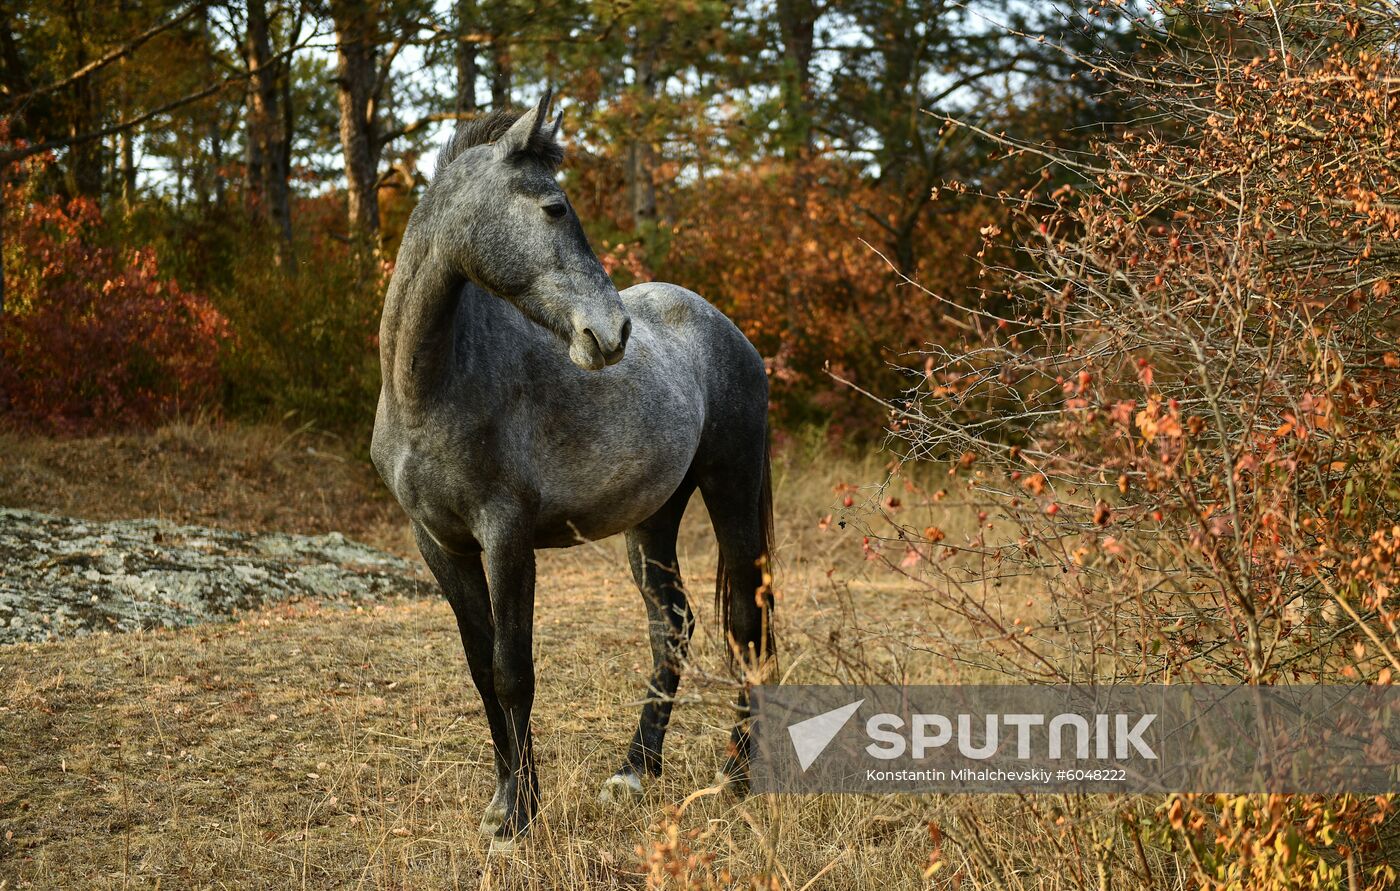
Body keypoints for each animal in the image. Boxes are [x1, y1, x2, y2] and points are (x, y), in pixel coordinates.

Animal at [372, 90, 772, 851]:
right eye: (554, 207)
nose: (610, 334)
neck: (431, 385)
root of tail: (725, 327)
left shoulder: (506, 539)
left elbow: (512, 672)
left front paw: (520, 818)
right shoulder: (437, 544)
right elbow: (480, 669)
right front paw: (502, 801)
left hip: (734, 492)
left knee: (745, 626)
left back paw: (738, 775)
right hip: (653, 521)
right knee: (672, 626)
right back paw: (634, 772)